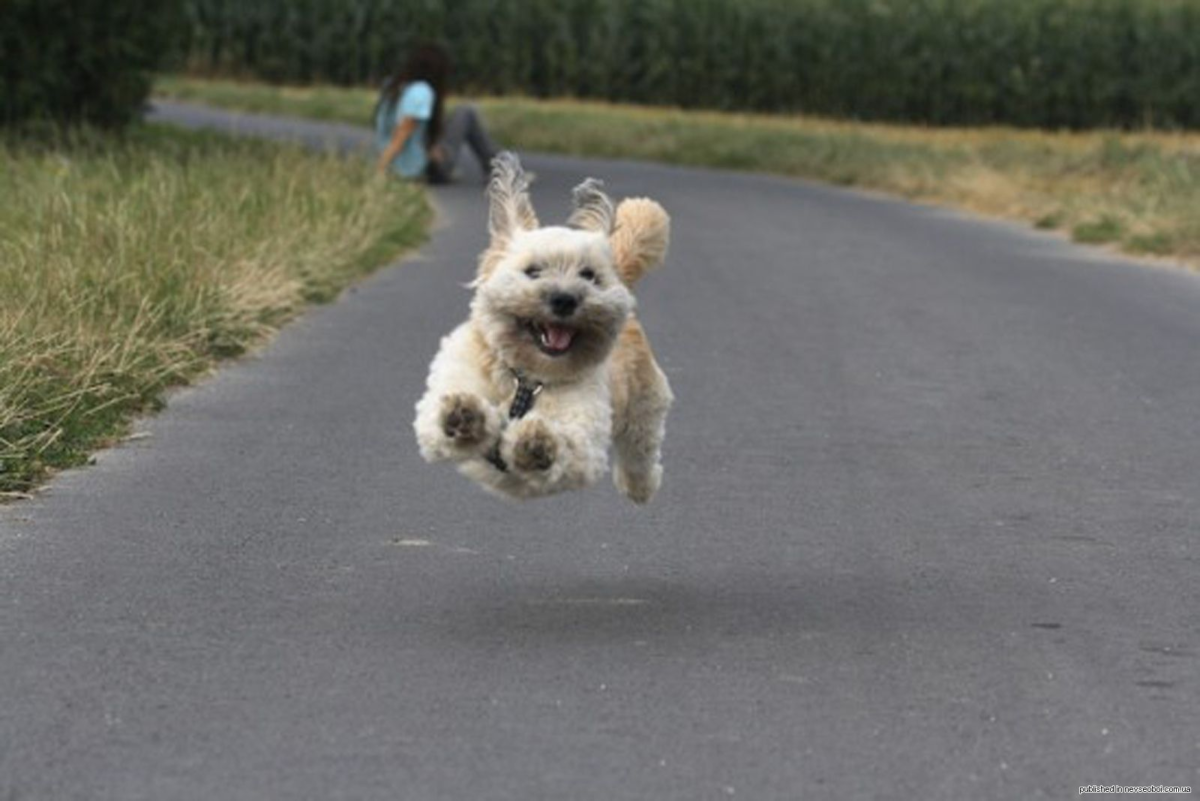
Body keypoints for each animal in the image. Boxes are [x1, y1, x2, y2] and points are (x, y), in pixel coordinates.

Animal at [412, 151, 676, 501]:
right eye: (533, 271)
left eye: (588, 275)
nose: (564, 299)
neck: (525, 379)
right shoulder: (447, 393)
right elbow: (442, 419)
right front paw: (463, 414)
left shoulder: (584, 436)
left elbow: (567, 443)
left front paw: (536, 442)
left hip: (645, 405)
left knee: (641, 449)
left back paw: (639, 485)